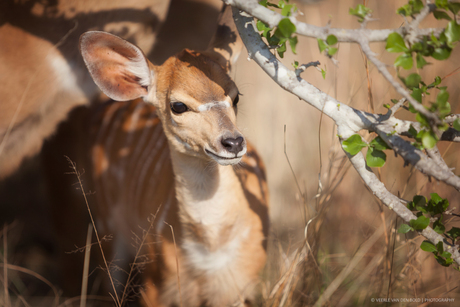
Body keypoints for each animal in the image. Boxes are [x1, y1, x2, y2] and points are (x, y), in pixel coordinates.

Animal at [77, 4, 268, 307]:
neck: (210, 250)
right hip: (106, 224)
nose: (233, 142)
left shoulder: (242, 282)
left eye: (236, 96)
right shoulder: (159, 282)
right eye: (178, 105)